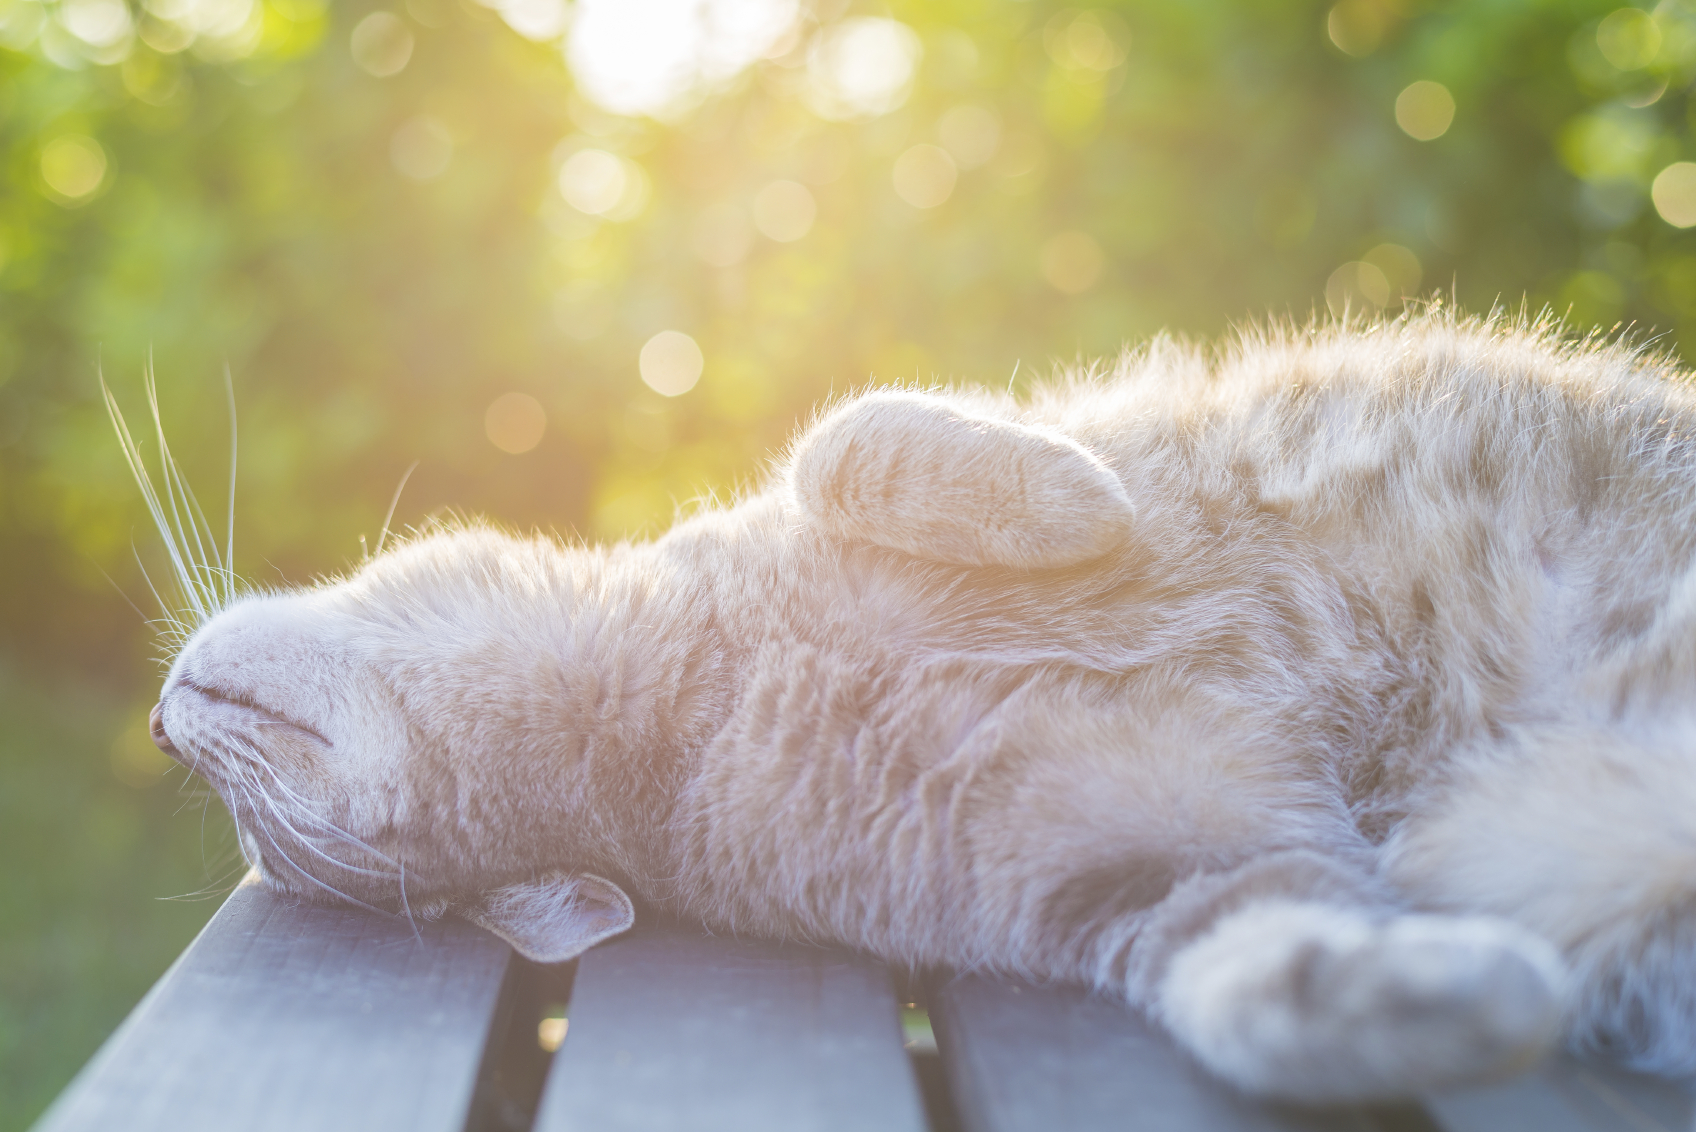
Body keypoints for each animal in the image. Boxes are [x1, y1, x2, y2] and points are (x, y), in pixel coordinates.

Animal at [135, 312, 1696, 1106]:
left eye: (256, 821)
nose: (157, 732)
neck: (690, 713)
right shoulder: (1162, 871)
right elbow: (1256, 978)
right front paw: (1471, 998)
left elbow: (850, 436)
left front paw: (1071, 497)